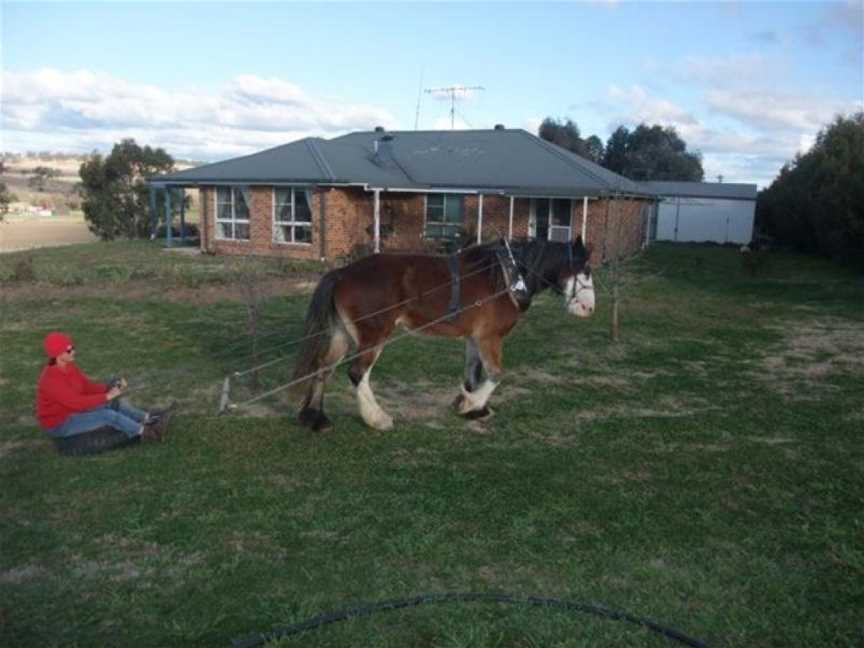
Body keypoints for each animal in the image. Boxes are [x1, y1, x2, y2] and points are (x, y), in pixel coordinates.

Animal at [290, 237, 592, 430]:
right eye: (586, 270)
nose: (589, 307)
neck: (507, 278)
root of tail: (342, 273)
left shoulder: (475, 338)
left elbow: (473, 374)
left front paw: (473, 407)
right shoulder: (490, 338)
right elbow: (496, 374)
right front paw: (472, 404)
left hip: (343, 334)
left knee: (323, 367)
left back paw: (315, 418)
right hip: (374, 335)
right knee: (357, 373)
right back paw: (377, 418)